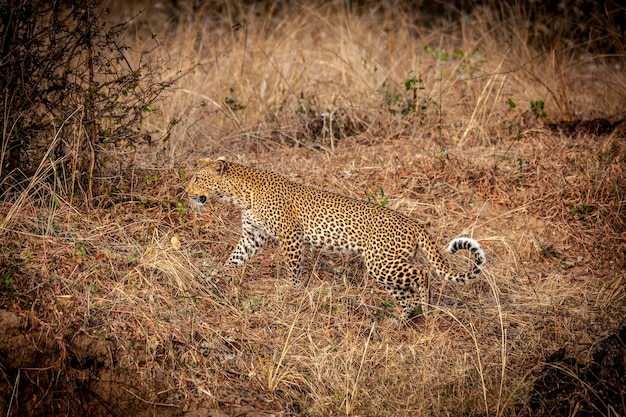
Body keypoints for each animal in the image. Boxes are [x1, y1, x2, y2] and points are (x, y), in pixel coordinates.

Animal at [183, 158, 486, 320]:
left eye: (197, 178)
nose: (186, 192)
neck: (238, 194)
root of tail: (414, 223)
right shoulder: (252, 236)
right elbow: (234, 258)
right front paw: (217, 276)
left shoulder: (290, 235)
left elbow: (294, 269)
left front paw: (294, 292)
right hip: (386, 268)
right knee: (407, 294)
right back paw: (401, 321)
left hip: (382, 262)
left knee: (423, 276)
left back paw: (426, 310)